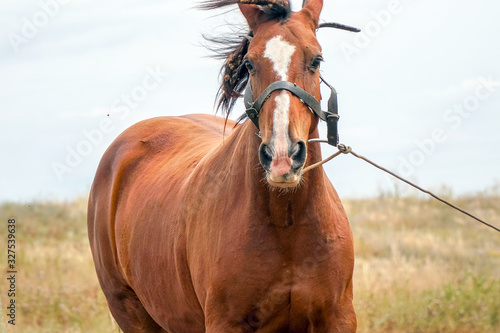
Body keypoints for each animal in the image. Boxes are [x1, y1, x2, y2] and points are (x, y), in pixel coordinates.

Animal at [89, 1, 356, 330]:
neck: (288, 225)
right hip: (130, 310)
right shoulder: (224, 322)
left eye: (316, 60)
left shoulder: (338, 317)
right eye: (250, 64)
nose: (282, 157)